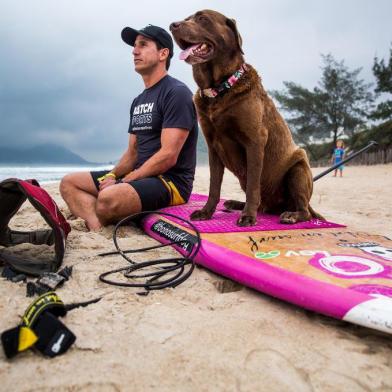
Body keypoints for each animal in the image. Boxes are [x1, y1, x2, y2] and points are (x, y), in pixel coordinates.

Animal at [170, 9, 324, 227]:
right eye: (186, 18)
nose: (172, 25)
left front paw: (248, 216)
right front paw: (206, 212)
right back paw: (235, 203)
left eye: (202, 18)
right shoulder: (212, 147)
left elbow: (253, 185)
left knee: (303, 210)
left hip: (298, 168)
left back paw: (290, 214)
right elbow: (214, 186)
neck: (220, 89)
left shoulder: (255, 141)